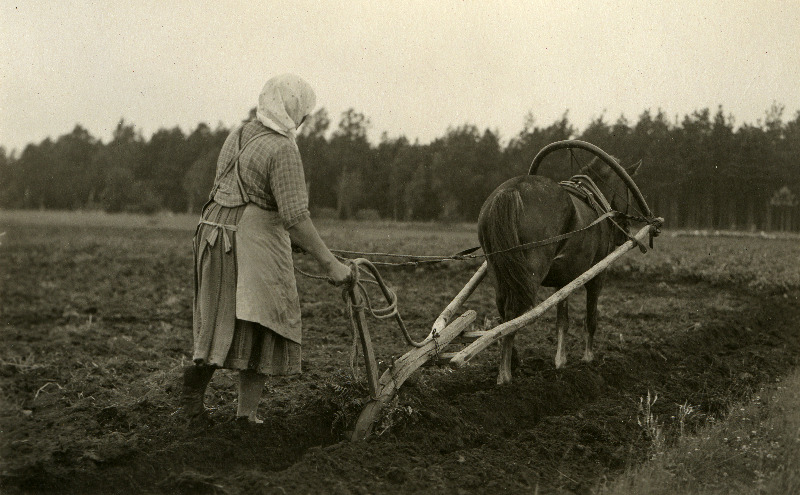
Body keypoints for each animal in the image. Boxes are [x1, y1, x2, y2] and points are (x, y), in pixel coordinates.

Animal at [478, 157, 640, 386]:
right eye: (627, 191)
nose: (624, 232)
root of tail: (511, 191)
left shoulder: (563, 280)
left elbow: (562, 321)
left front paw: (561, 362)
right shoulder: (597, 275)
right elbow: (591, 318)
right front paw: (588, 359)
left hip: (497, 269)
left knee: (502, 312)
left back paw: (512, 361)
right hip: (530, 273)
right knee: (513, 313)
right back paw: (505, 374)